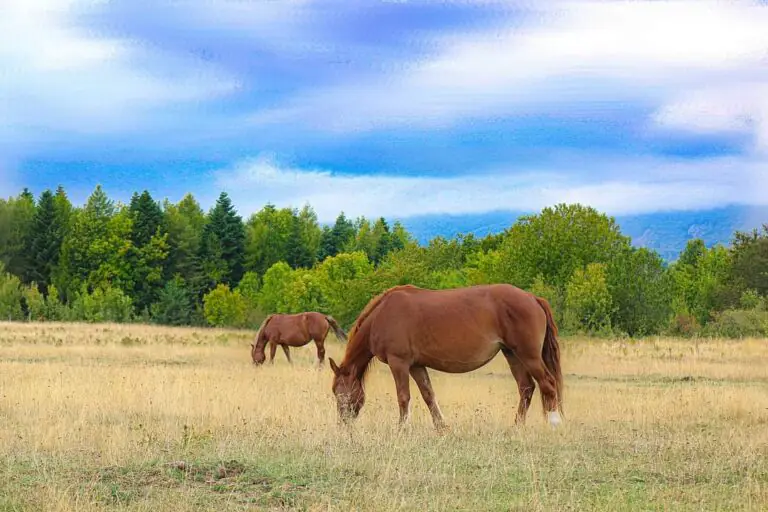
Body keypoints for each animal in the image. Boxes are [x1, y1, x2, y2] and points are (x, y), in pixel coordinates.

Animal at [328, 283, 564, 430]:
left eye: (339, 393)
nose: (342, 424)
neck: (383, 314)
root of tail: (532, 298)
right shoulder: (416, 366)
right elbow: (428, 395)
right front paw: (442, 427)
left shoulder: (399, 363)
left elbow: (403, 397)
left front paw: (402, 429)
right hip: (512, 354)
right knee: (526, 388)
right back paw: (516, 427)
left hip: (528, 355)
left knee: (548, 384)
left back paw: (554, 423)